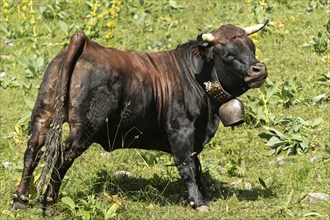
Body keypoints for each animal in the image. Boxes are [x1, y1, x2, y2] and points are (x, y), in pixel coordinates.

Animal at [14, 20, 270, 213]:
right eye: (227, 54)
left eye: (252, 48)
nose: (259, 69)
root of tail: (86, 44)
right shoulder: (181, 130)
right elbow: (187, 165)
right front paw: (198, 202)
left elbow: (196, 165)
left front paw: (204, 195)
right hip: (84, 129)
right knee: (61, 157)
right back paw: (48, 203)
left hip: (43, 116)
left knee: (32, 153)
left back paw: (20, 200)